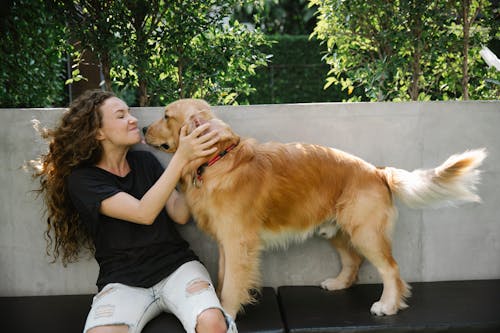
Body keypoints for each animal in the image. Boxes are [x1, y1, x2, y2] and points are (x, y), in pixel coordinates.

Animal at [143, 98, 486, 316]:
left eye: (166, 115)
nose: (144, 129)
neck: (217, 161)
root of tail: (377, 171)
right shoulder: (226, 243)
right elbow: (222, 276)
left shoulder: (237, 241)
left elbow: (231, 285)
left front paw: (226, 311)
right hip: (336, 230)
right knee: (352, 262)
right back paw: (338, 283)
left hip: (365, 232)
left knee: (391, 269)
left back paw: (387, 305)